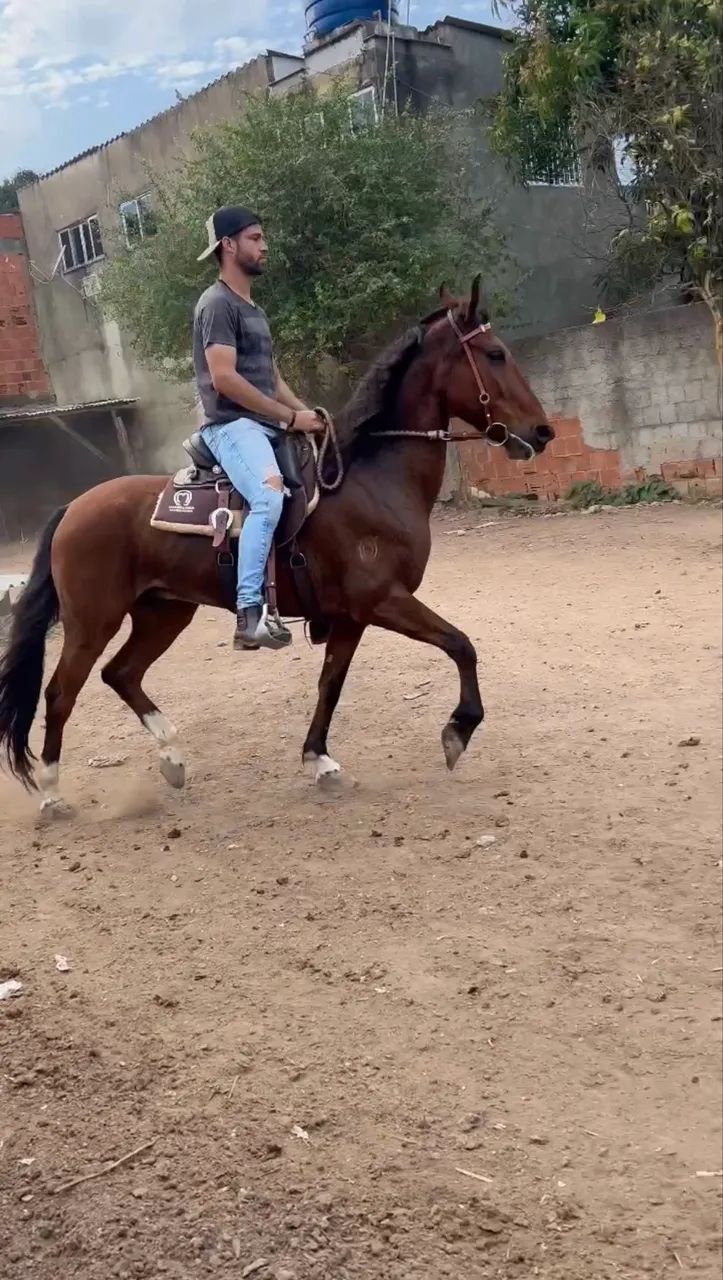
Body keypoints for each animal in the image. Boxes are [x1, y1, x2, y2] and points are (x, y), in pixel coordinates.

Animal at [0, 279, 554, 814]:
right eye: (495, 353)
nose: (543, 431)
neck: (370, 479)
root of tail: (73, 507)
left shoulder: (350, 617)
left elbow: (331, 684)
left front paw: (320, 760)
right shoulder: (383, 601)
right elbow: (461, 644)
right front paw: (458, 729)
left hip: (163, 613)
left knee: (122, 673)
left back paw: (172, 758)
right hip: (92, 622)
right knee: (60, 693)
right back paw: (51, 792)